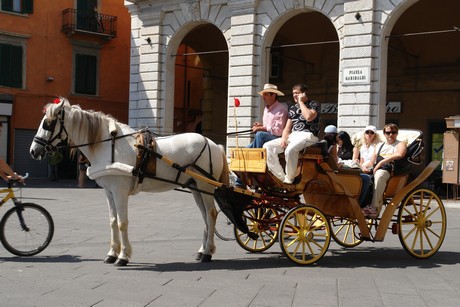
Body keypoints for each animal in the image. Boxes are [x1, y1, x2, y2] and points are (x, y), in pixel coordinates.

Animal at [30, 97, 228, 266]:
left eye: (47, 123)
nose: (33, 150)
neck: (108, 145)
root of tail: (214, 144)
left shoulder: (120, 191)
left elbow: (122, 222)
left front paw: (123, 256)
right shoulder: (109, 192)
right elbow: (112, 221)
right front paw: (112, 253)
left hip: (205, 186)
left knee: (211, 214)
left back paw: (207, 253)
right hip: (195, 188)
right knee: (205, 217)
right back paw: (202, 250)